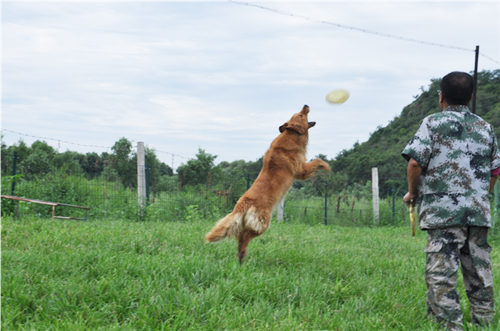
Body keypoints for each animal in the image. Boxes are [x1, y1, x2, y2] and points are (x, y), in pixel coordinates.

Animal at [205, 105, 330, 264]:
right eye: (301, 115)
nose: (306, 105)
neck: (291, 135)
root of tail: (244, 203)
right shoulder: (300, 169)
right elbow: (317, 161)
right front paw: (326, 166)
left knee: (240, 237)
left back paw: (241, 258)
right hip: (263, 223)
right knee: (245, 236)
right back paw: (242, 256)